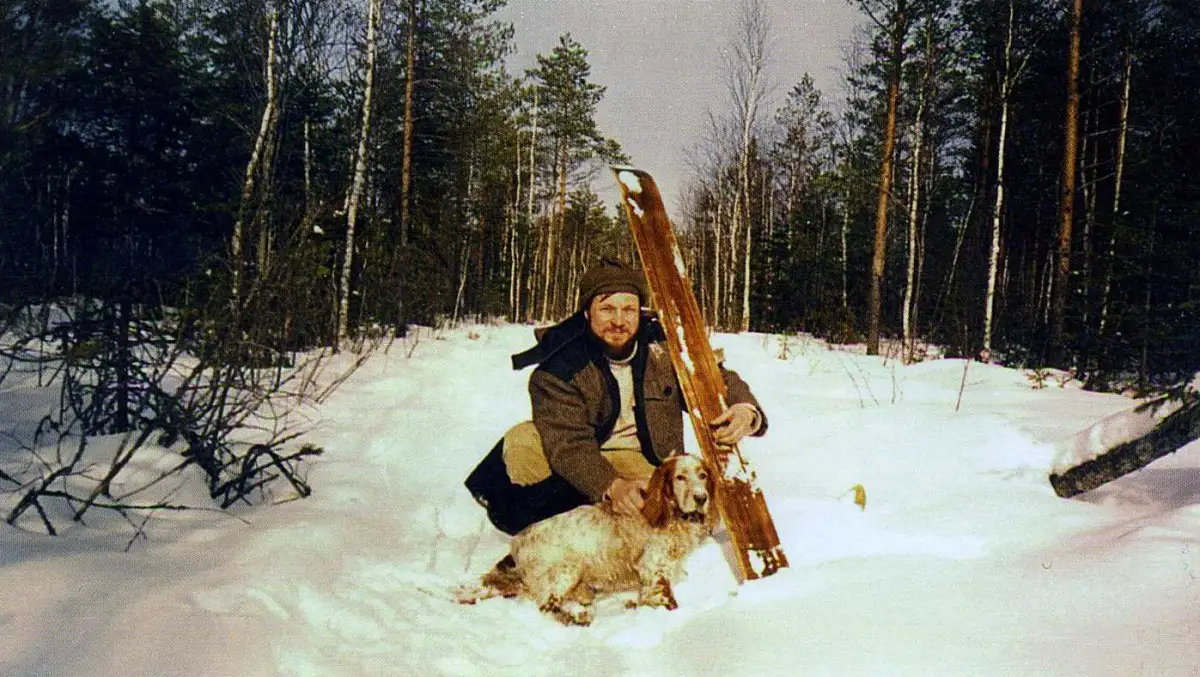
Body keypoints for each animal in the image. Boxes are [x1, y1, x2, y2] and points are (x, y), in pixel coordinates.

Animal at [458, 451, 720, 628]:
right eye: (680, 477)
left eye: (703, 475)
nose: (701, 498)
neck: (668, 514)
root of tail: (517, 543)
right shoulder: (653, 565)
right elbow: (667, 597)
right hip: (568, 569)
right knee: (547, 606)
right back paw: (578, 618)